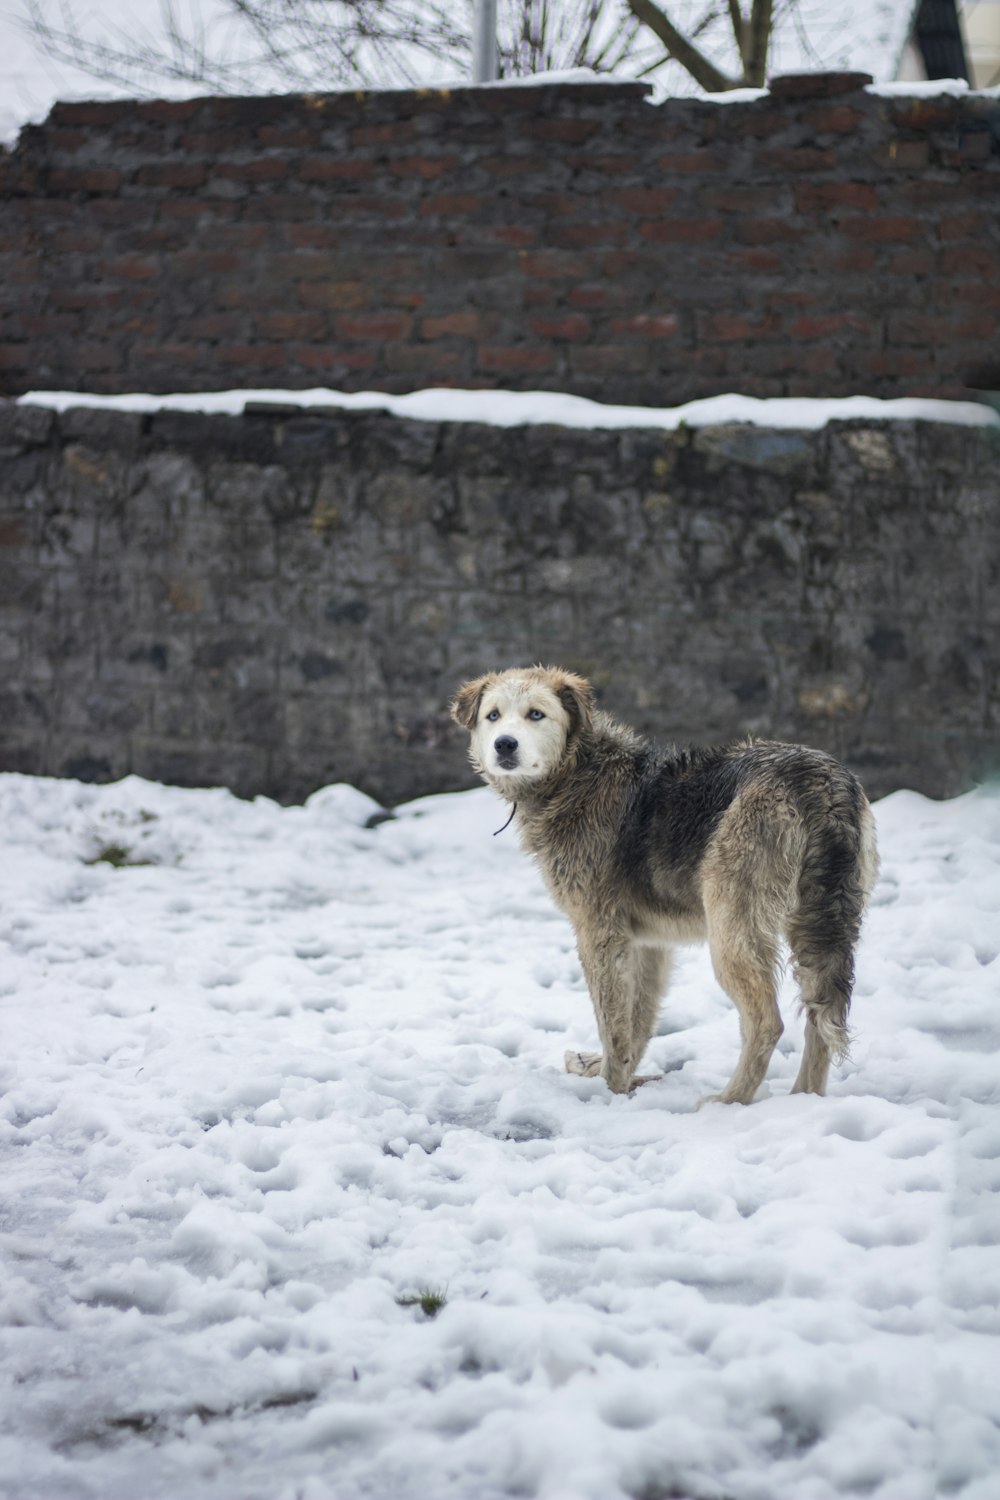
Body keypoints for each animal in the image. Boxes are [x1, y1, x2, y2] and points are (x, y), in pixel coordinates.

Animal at [449, 669, 881, 1104]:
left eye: (536, 714)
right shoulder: (648, 943)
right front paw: (618, 1079)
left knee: (767, 1022)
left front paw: (610, 1091)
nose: (505, 744)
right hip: (820, 929)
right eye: (493, 715)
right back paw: (804, 1098)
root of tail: (820, 782)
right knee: (817, 1019)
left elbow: (612, 1023)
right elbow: (637, 1022)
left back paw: (728, 1101)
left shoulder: (598, 932)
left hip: (731, 931)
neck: (577, 774)